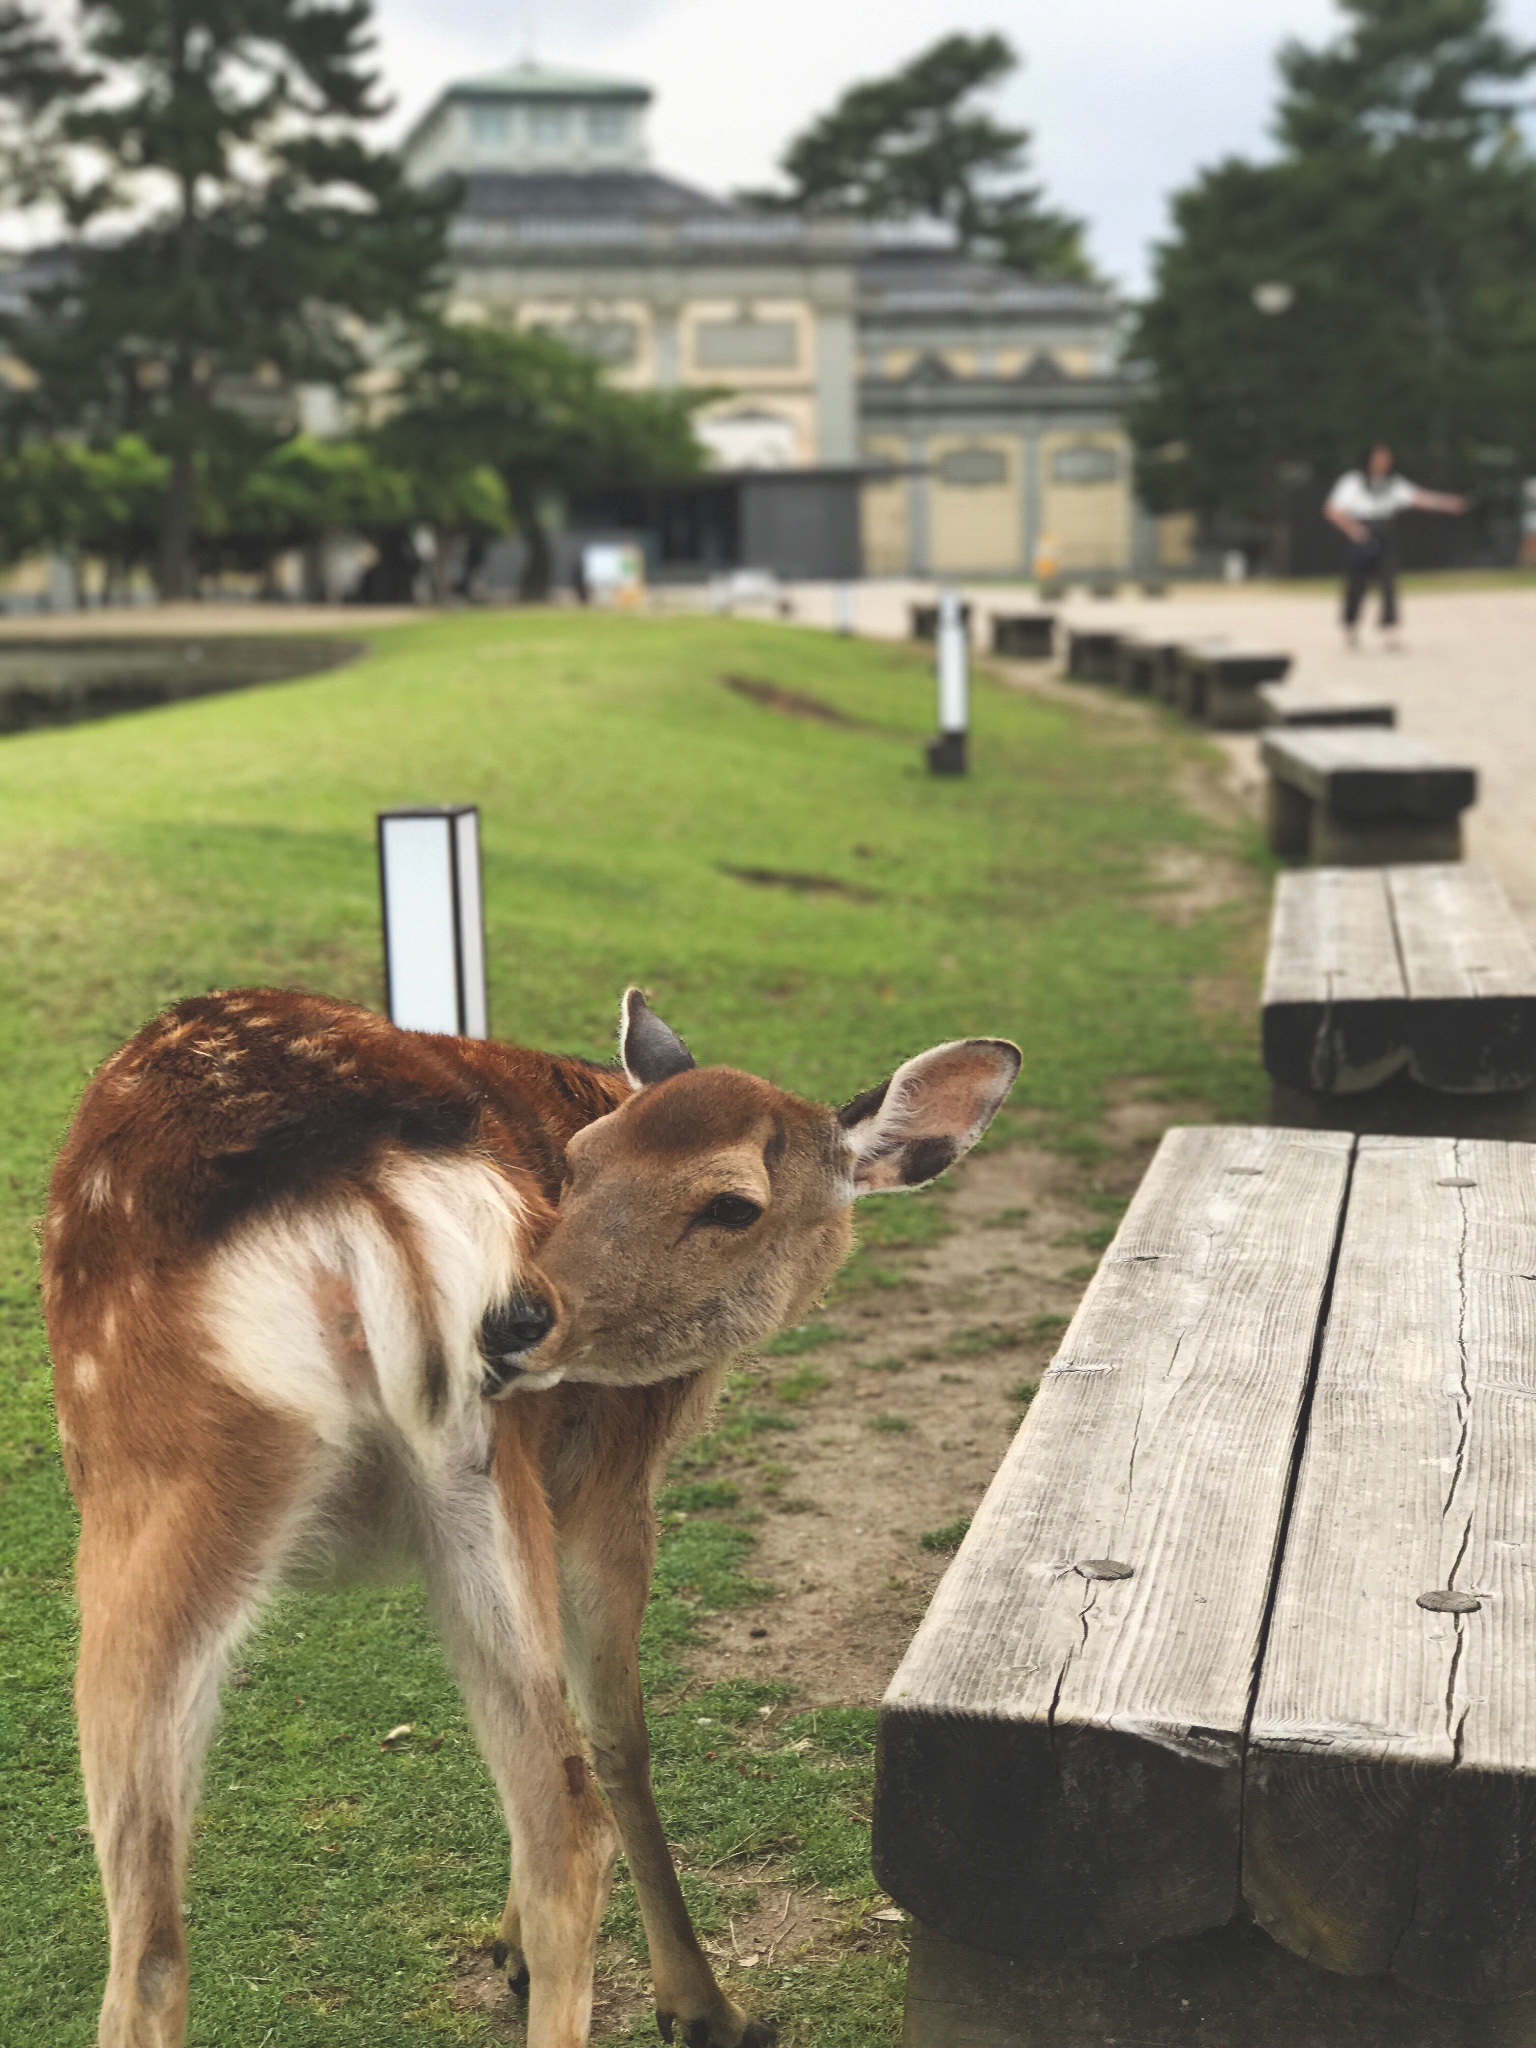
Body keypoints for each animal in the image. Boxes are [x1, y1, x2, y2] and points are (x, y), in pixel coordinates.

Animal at [48, 983, 1028, 2039]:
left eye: (733, 1206)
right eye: (580, 1159)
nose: (520, 1321)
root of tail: (355, 1199)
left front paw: (506, 1945)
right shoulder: (609, 1482)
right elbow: (621, 1738)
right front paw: (691, 2006)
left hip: (171, 1501)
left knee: (150, 1934)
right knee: (570, 1817)